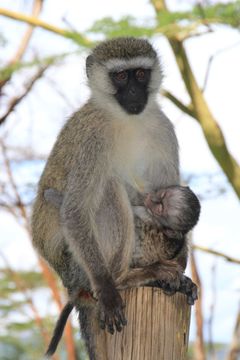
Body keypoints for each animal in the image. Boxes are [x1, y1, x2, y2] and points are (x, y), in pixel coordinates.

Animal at [31, 38, 201, 358]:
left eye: (141, 74)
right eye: (121, 76)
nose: (134, 92)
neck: (125, 119)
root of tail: (71, 287)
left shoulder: (162, 128)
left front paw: (180, 263)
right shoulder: (92, 140)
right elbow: (75, 210)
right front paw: (109, 290)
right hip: (77, 267)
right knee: (108, 186)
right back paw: (123, 279)